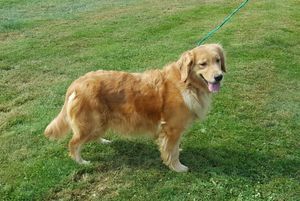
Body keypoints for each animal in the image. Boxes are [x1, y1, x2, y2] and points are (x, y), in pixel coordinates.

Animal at [45, 44, 225, 173]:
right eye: (203, 64)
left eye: (217, 60)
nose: (219, 77)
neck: (187, 84)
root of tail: (76, 83)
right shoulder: (172, 128)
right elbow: (172, 152)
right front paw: (177, 167)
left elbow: (173, 147)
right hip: (89, 123)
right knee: (73, 144)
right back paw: (81, 162)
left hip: (99, 122)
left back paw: (102, 140)